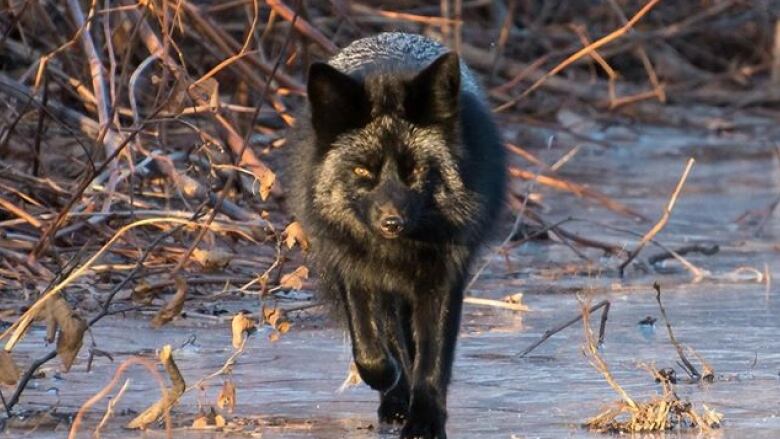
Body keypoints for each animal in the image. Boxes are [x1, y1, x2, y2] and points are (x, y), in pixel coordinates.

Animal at [286, 32, 506, 438]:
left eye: (415, 170)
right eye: (362, 170)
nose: (392, 223)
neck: (400, 250)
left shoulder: (444, 276)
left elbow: (432, 359)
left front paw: (426, 419)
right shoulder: (354, 266)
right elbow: (371, 345)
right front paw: (386, 380)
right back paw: (393, 397)